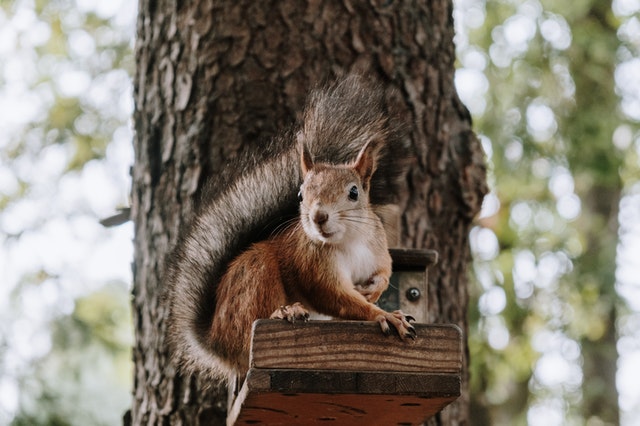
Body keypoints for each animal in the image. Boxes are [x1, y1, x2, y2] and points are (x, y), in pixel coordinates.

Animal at [164, 74, 411, 382]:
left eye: (354, 192)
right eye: (301, 195)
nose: (318, 216)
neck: (348, 241)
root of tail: (217, 342)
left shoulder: (377, 248)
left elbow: (385, 271)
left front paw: (375, 292)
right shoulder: (312, 266)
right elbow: (336, 297)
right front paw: (383, 314)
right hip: (255, 276)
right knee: (249, 327)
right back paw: (283, 313)